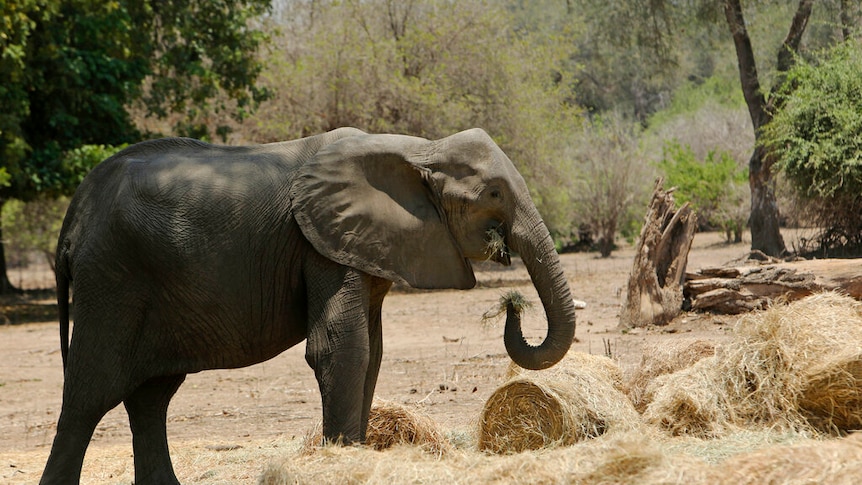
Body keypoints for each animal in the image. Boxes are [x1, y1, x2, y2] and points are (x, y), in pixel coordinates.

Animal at [42, 126, 580, 482]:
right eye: (493, 193)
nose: (512, 307)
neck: (419, 148)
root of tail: (75, 211)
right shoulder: (319, 243)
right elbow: (342, 349)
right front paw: (340, 461)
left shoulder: (360, 247)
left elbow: (372, 353)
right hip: (111, 279)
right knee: (89, 394)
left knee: (150, 398)